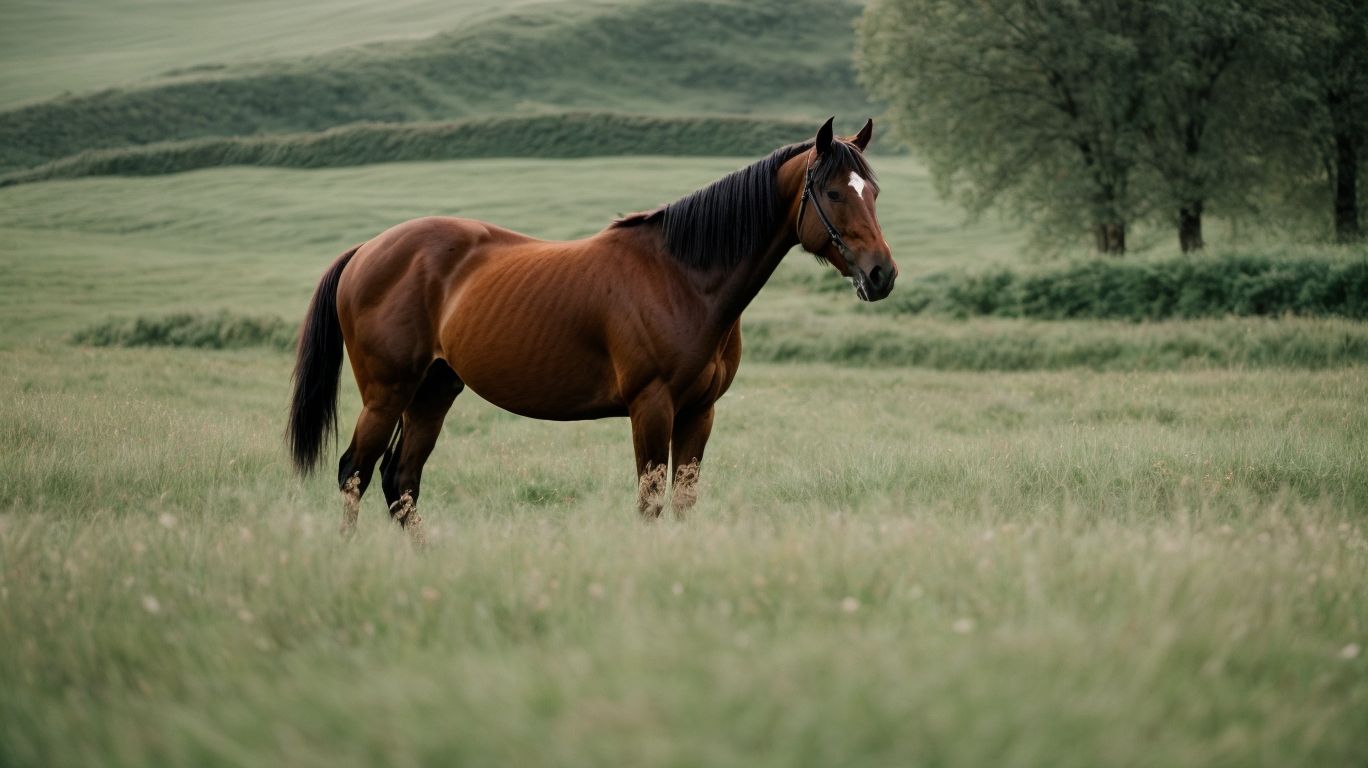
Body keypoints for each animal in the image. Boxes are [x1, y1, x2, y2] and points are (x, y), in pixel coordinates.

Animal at [286, 117, 897, 543]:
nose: (882, 275)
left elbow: (683, 500)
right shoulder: (651, 407)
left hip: (434, 391)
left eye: (873, 192)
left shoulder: (699, 412)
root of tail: (368, 250)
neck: (682, 276)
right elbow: (650, 502)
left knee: (401, 479)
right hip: (386, 394)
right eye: (834, 192)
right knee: (355, 472)